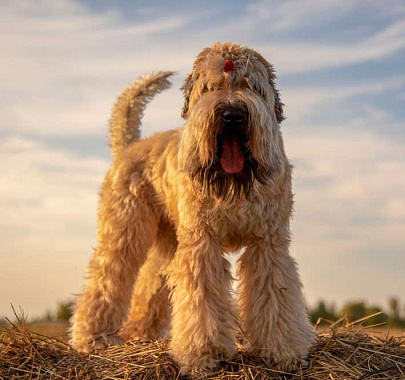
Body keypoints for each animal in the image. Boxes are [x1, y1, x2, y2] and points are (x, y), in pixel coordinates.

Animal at [70, 41, 316, 374]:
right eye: (210, 87)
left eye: (250, 85)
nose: (232, 115)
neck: (233, 182)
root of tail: (129, 147)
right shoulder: (202, 242)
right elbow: (202, 300)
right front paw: (205, 354)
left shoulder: (268, 243)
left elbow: (276, 295)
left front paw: (282, 351)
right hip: (124, 231)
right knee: (107, 277)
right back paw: (93, 338)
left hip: (168, 240)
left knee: (151, 280)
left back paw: (139, 334)